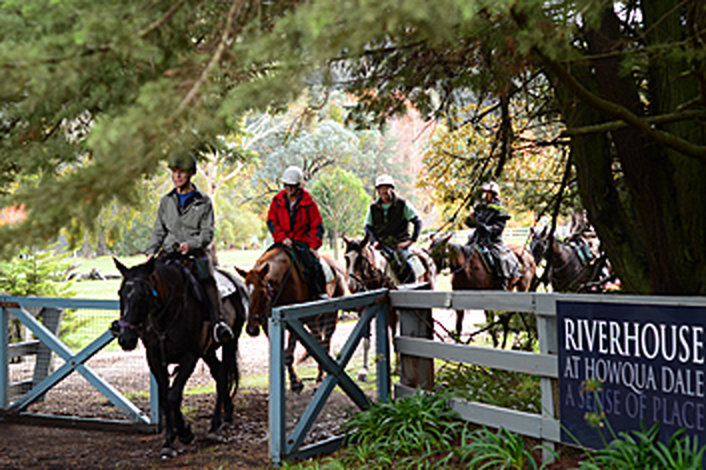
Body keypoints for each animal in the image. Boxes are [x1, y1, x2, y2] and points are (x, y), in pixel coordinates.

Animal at [113, 255, 248, 458]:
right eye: (120, 293)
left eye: (143, 295)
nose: (126, 339)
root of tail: (234, 281)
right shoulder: (155, 360)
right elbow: (165, 397)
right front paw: (173, 437)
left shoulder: (189, 359)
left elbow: (173, 396)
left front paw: (182, 434)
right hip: (207, 351)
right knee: (218, 374)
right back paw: (227, 413)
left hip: (229, 343)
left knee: (223, 375)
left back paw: (215, 427)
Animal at [235, 246, 348, 392]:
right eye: (244, 292)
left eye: (262, 293)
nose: (251, 329)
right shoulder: (270, 323)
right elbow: (284, 353)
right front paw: (295, 380)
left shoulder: (293, 318)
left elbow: (289, 355)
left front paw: (295, 382)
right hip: (312, 321)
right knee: (318, 340)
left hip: (331, 315)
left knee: (325, 344)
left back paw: (319, 380)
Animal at [340, 237, 434, 380]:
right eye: (346, 258)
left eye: (361, 258)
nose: (352, 286)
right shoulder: (364, 312)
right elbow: (365, 340)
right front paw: (364, 370)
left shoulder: (392, 313)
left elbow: (394, 337)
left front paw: (397, 368)